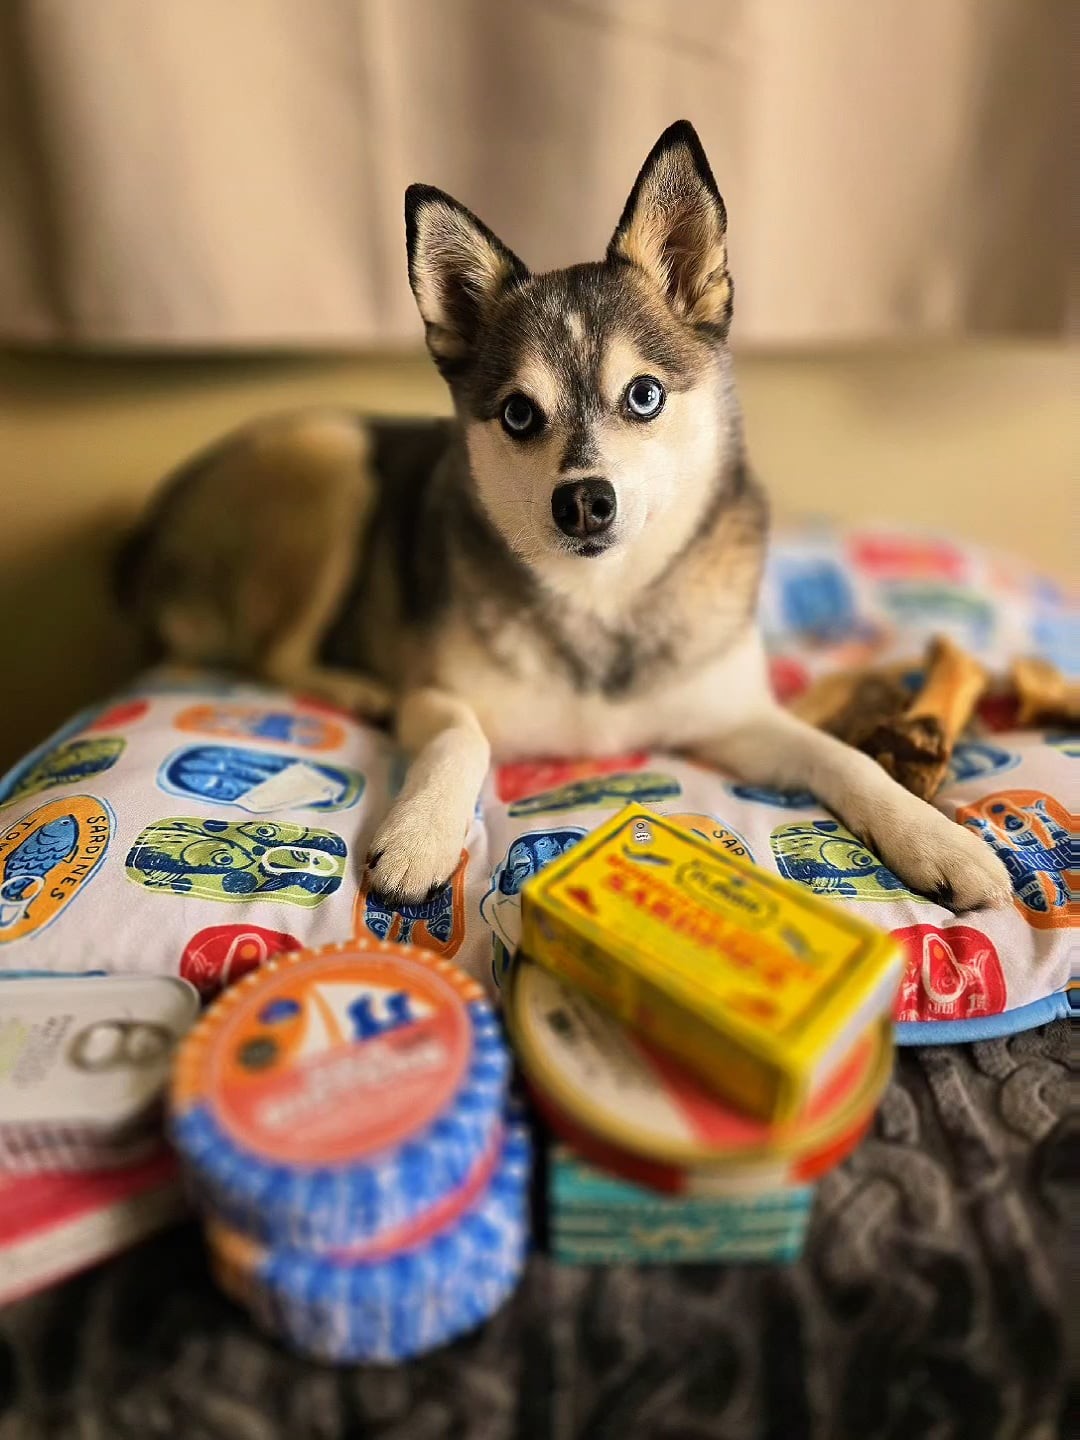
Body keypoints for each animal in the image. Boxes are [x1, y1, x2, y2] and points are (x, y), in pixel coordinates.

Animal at [118, 121, 1011, 914]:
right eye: (518, 413)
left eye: (644, 394)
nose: (583, 498)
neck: (603, 601)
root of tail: (143, 537)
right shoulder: (437, 692)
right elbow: (461, 735)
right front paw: (420, 836)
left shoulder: (736, 718)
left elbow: (845, 760)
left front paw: (939, 839)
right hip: (328, 455)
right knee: (272, 652)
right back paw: (354, 687)